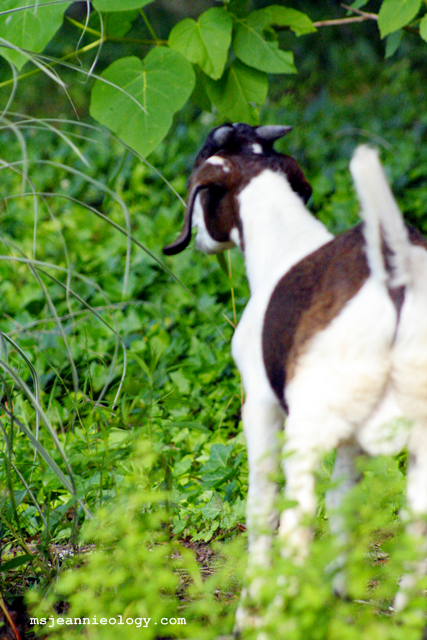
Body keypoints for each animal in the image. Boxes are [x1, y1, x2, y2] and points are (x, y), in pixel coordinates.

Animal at [163, 123, 427, 629]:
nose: (200, 239)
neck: (284, 240)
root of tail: (397, 278)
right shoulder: (350, 440)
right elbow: (343, 509)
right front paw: (338, 595)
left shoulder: (261, 408)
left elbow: (262, 509)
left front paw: (249, 613)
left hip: (306, 434)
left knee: (296, 530)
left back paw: (273, 618)